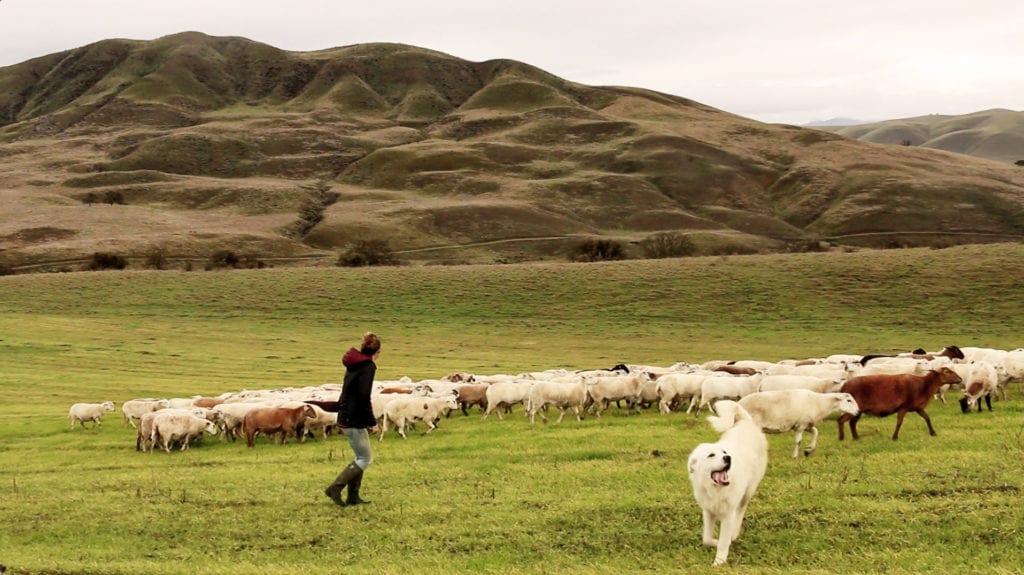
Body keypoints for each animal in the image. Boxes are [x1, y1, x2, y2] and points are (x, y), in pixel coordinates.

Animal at [688, 399, 770, 564]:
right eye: (711, 455)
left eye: (724, 452)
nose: (728, 458)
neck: (715, 490)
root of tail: (746, 422)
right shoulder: (708, 511)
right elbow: (706, 539)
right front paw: (714, 542)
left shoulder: (727, 515)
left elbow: (724, 541)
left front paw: (719, 562)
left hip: (748, 492)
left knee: (741, 511)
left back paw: (735, 533)